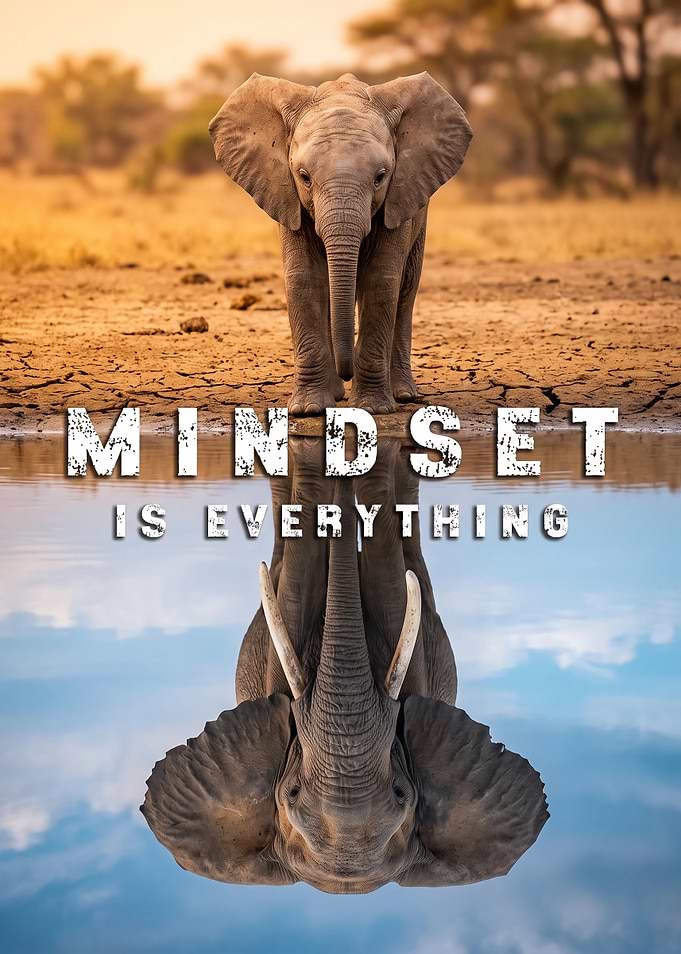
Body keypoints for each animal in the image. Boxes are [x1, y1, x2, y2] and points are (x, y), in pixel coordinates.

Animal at [208, 72, 472, 416]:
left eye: (381, 177)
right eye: (304, 176)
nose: (347, 373)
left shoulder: (398, 198)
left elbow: (381, 281)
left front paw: (372, 409)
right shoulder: (288, 198)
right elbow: (304, 278)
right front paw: (309, 409)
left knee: (405, 289)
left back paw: (402, 394)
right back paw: (337, 393)